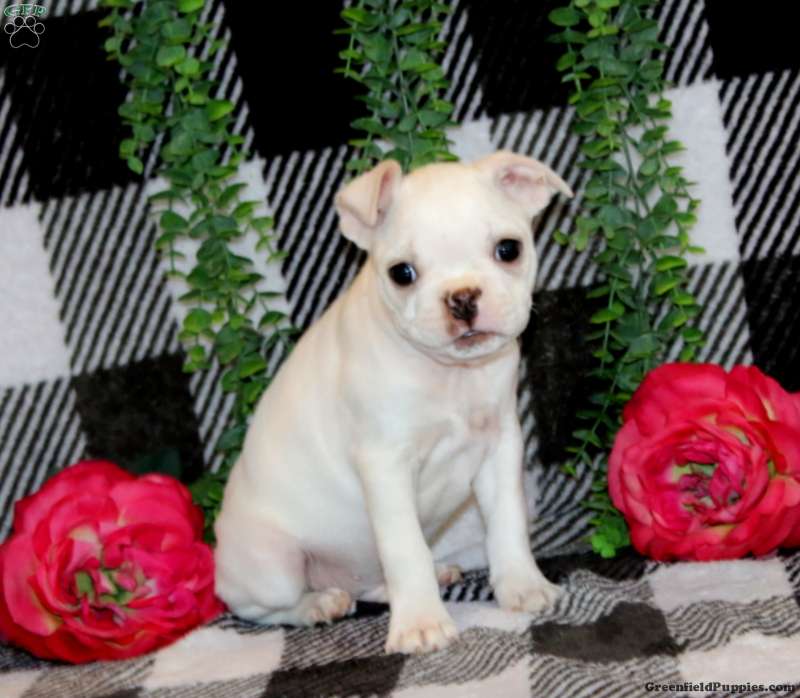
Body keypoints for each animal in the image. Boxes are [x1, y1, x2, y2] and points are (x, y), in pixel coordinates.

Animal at [214, 151, 573, 654]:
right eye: (402, 273)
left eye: (508, 249)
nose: (462, 297)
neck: (449, 375)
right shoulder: (385, 465)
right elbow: (405, 548)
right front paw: (422, 623)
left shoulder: (500, 448)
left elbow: (507, 524)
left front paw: (523, 586)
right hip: (272, 566)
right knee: (264, 608)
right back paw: (319, 603)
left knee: (373, 579)